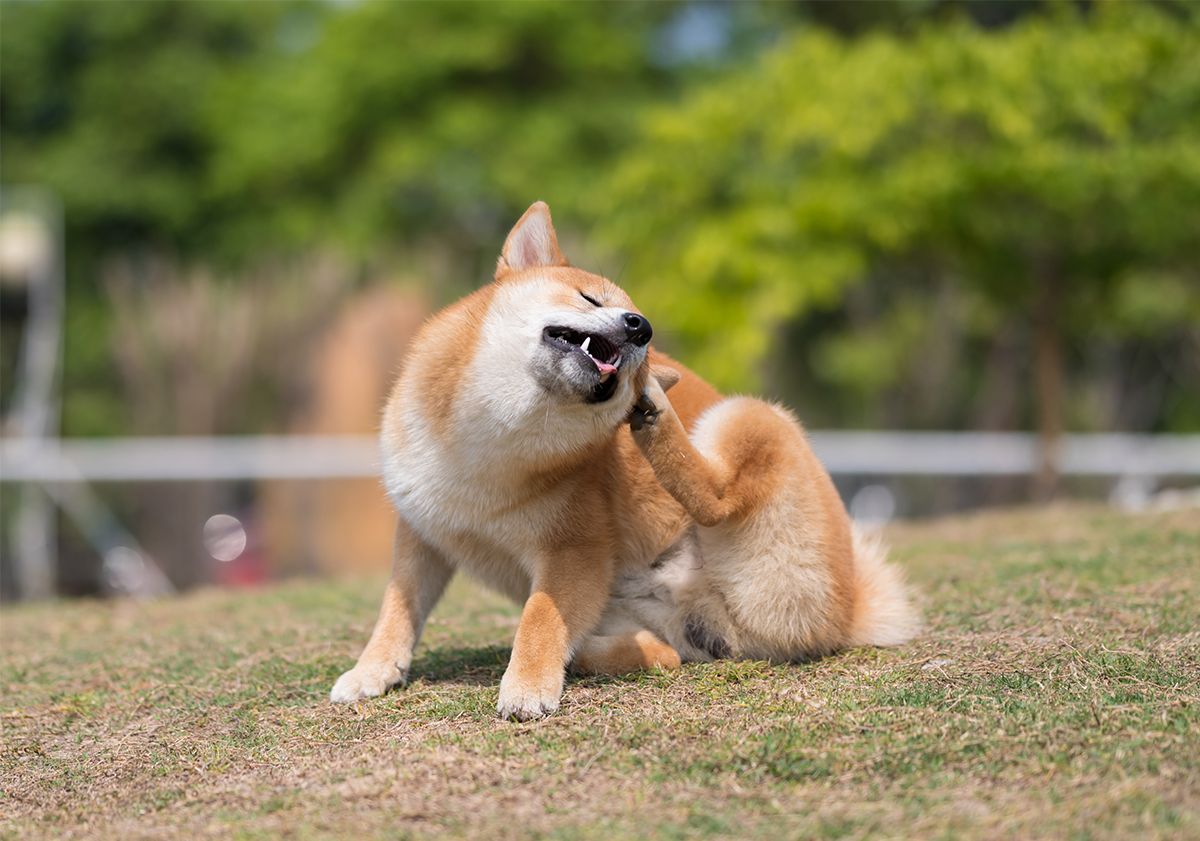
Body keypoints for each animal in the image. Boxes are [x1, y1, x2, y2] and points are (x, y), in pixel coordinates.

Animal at [331, 201, 916, 715]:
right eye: (590, 298)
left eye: (641, 332)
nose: (641, 327)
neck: (488, 443)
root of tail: (851, 608)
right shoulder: (424, 533)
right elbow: (398, 612)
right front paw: (372, 671)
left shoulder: (574, 549)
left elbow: (540, 619)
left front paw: (527, 686)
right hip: (639, 612)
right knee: (664, 654)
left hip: (749, 418)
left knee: (717, 499)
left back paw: (656, 413)